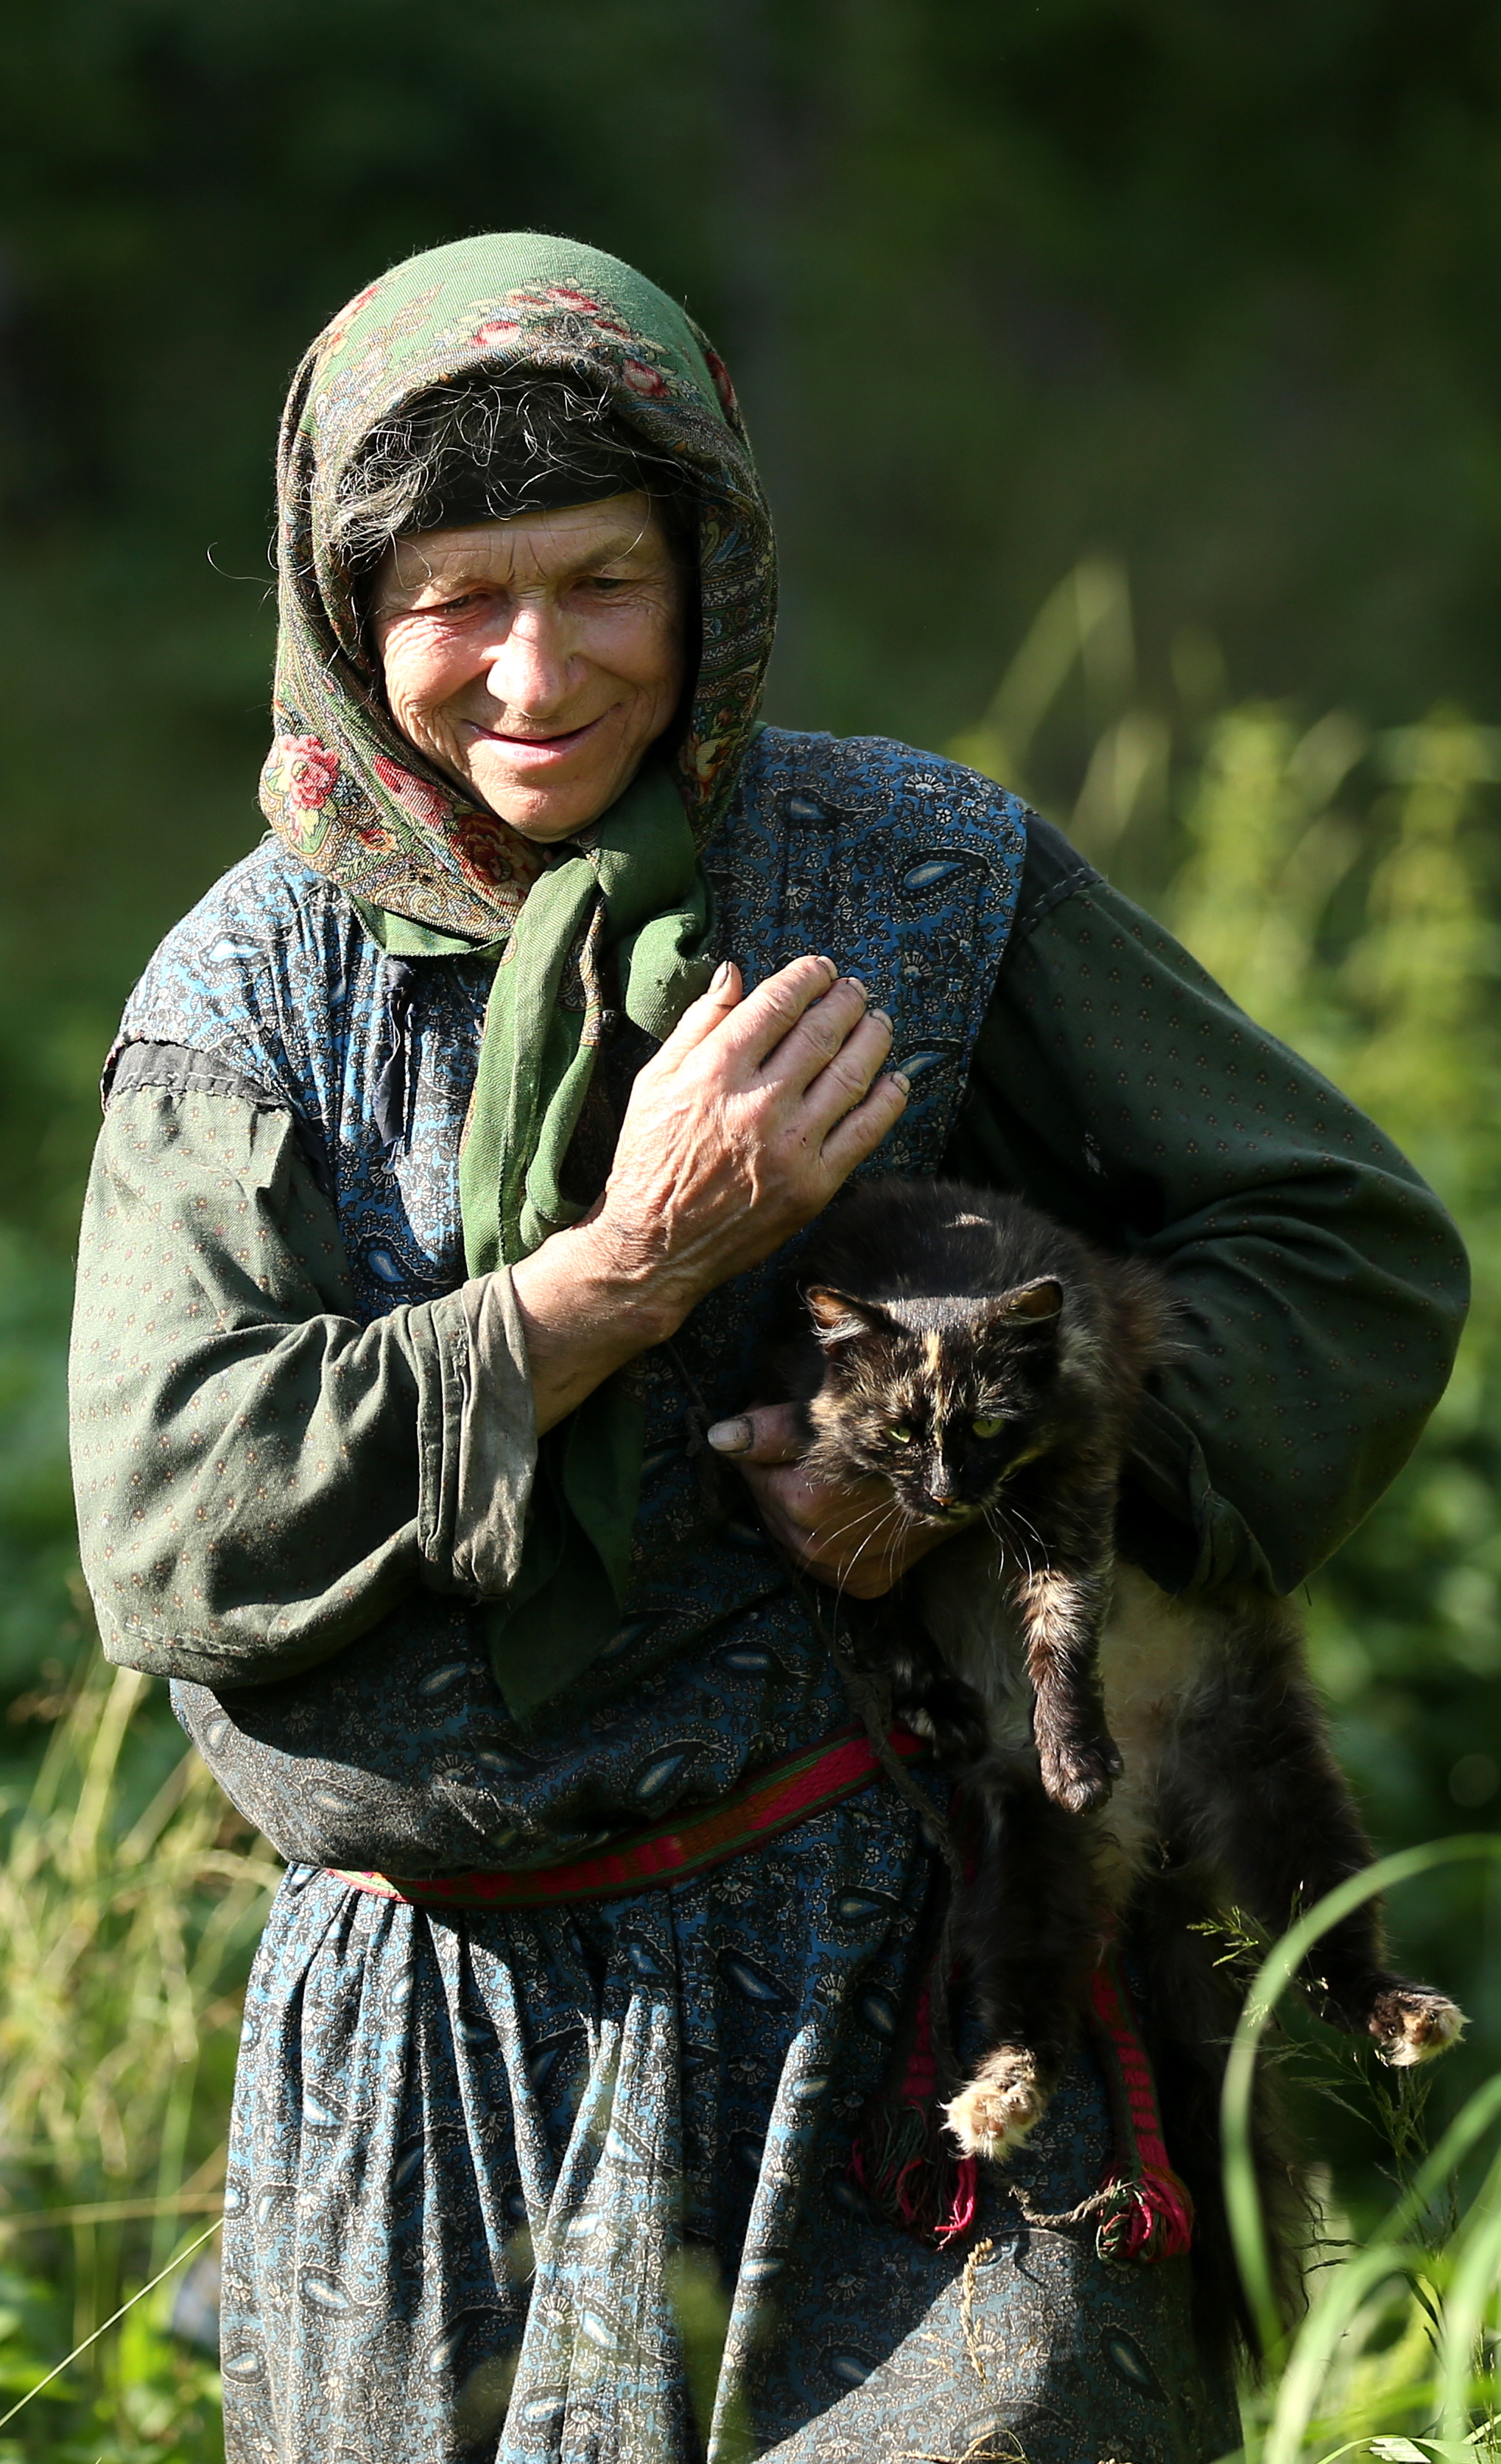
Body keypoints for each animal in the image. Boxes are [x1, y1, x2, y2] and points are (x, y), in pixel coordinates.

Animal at [759, 1182, 1459, 2168]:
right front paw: (934, 1700)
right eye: (898, 1429)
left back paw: (1407, 2016)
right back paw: (997, 2103)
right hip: (1030, 1861)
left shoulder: (1081, 1475)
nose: (944, 1493)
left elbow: (1065, 1628)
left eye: (985, 1424)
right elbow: (874, 1604)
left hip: (1283, 1791)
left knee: (1331, 1951)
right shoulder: (823, 1500)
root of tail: (1159, 1817)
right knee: (1031, 2006)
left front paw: (1078, 1754)